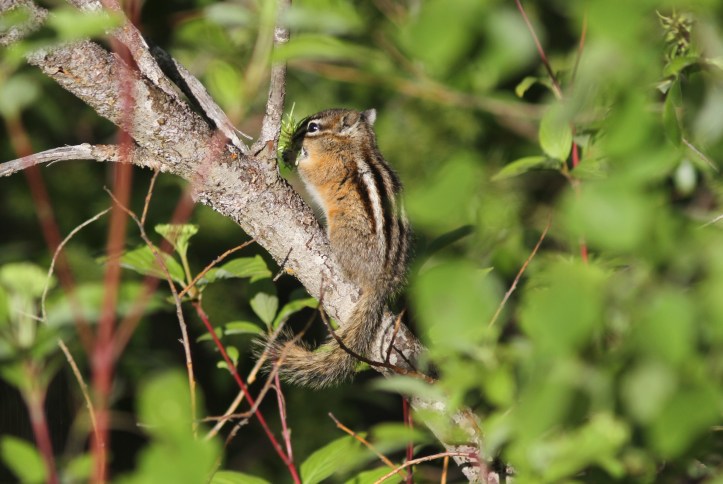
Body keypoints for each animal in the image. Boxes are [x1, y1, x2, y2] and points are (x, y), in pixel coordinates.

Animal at [269, 108, 411, 389]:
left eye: (312, 128)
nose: (294, 138)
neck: (352, 144)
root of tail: (382, 280)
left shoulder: (327, 167)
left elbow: (310, 172)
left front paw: (290, 155)